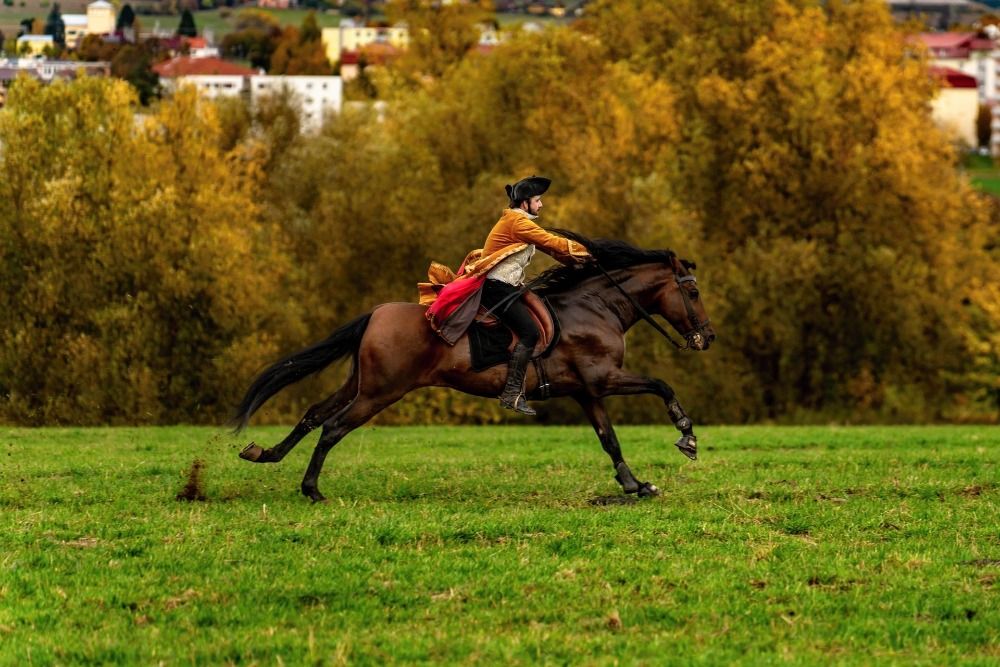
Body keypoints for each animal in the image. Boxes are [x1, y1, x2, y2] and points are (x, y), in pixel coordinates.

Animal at [232, 231, 720, 500]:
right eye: (693, 292)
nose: (708, 337)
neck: (597, 307)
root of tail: (375, 315)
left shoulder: (587, 391)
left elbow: (610, 441)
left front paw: (635, 486)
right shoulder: (605, 379)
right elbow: (662, 385)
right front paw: (687, 437)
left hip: (361, 383)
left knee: (314, 414)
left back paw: (265, 454)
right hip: (381, 391)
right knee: (333, 427)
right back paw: (312, 490)